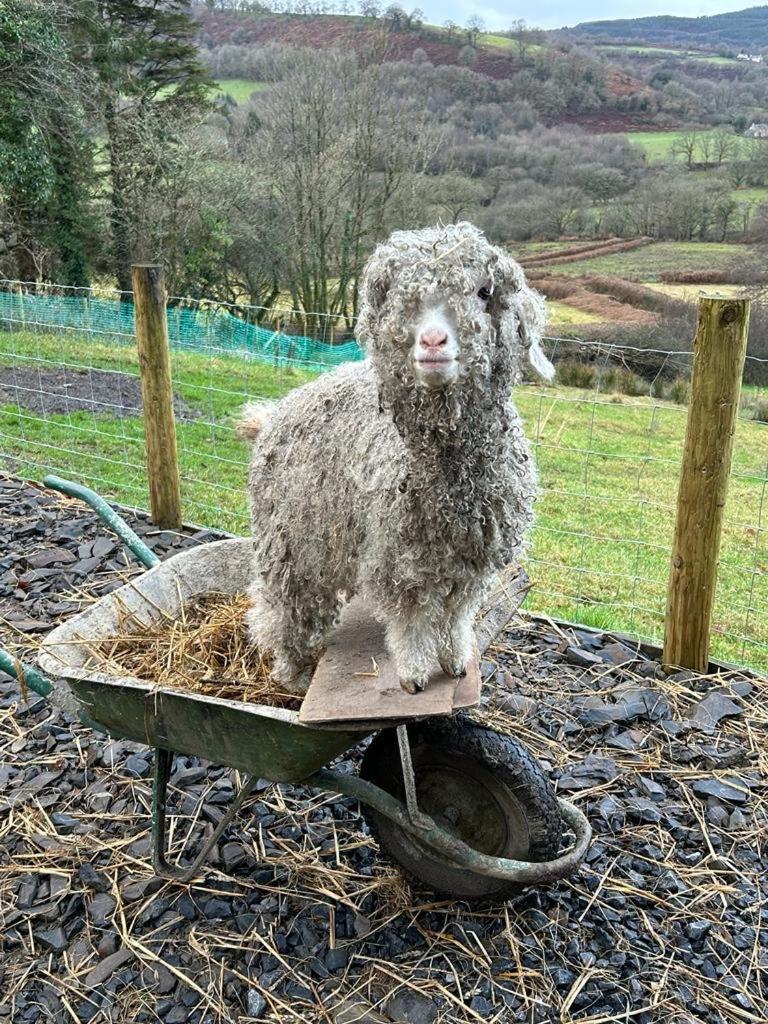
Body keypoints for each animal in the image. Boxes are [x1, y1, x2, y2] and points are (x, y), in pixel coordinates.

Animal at [240, 219, 552, 692]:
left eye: (484, 291)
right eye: (397, 296)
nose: (433, 340)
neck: (453, 487)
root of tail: (272, 414)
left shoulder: (473, 559)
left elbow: (457, 614)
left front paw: (456, 660)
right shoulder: (399, 557)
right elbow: (414, 619)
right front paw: (414, 673)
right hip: (290, 541)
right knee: (282, 608)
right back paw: (290, 672)